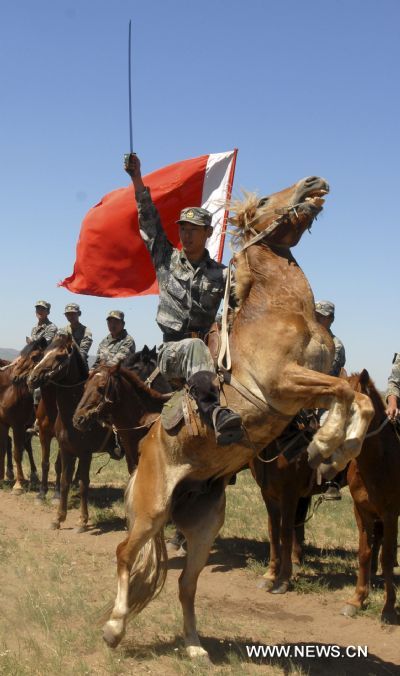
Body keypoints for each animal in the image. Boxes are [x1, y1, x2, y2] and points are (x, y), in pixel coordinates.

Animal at [101, 176, 374, 660]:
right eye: (264, 200)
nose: (314, 182)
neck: (280, 308)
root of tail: (147, 449)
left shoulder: (320, 376)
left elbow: (358, 398)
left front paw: (336, 446)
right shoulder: (283, 381)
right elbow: (345, 392)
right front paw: (326, 443)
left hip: (204, 523)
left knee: (186, 585)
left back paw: (194, 647)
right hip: (151, 511)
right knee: (124, 553)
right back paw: (114, 629)